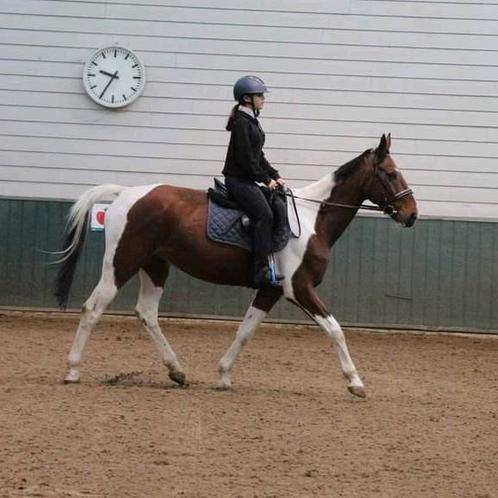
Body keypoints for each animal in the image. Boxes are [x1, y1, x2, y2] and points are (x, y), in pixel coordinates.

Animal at [55, 134, 416, 398]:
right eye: (391, 173)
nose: (411, 214)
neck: (314, 218)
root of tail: (126, 193)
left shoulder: (270, 290)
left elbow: (245, 331)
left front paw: (224, 374)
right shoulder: (298, 288)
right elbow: (335, 330)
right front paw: (355, 382)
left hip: (155, 266)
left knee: (147, 313)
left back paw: (177, 371)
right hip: (121, 262)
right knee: (93, 308)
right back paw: (72, 370)